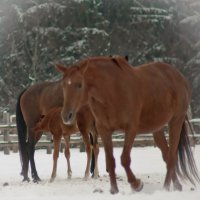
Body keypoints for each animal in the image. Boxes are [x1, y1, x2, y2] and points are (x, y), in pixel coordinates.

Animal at [56, 56, 200, 194]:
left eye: (79, 85)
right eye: (63, 85)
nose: (66, 115)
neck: (111, 91)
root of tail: (179, 77)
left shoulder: (131, 129)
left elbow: (124, 159)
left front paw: (136, 184)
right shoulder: (104, 130)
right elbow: (110, 160)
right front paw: (114, 190)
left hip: (176, 121)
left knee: (172, 156)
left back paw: (165, 187)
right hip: (157, 129)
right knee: (166, 154)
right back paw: (176, 185)